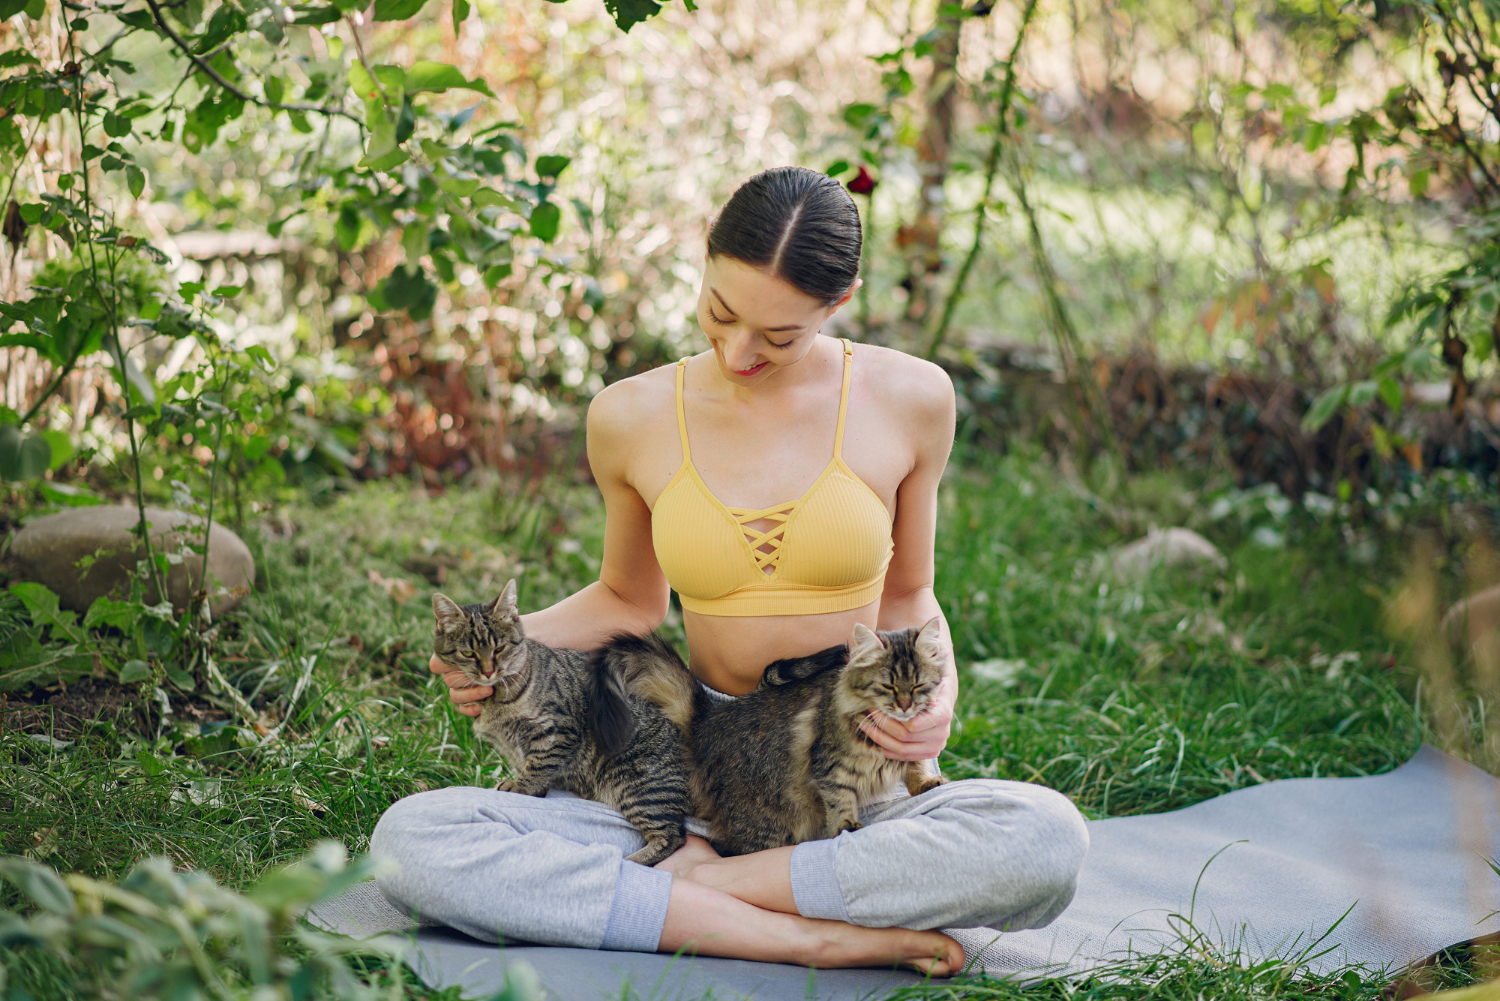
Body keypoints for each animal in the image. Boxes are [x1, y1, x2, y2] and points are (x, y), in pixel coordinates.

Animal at [432, 582, 693, 864]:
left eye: (499, 648)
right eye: (468, 653)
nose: (489, 671)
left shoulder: (559, 731)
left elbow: (539, 764)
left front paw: (522, 786)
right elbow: (529, 764)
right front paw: (535, 788)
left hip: (636, 786)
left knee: (671, 836)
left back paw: (631, 860)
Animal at [642, 621, 948, 858]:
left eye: (918, 686)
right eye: (888, 687)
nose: (905, 706)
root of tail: (707, 721)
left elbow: (916, 766)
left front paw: (926, 782)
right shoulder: (829, 767)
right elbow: (840, 800)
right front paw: (846, 824)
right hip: (764, 825)